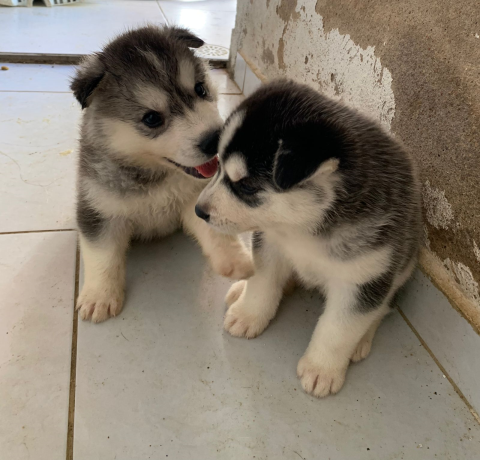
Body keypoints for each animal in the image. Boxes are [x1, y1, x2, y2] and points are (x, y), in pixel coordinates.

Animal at [70, 26, 255, 324]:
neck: (157, 175)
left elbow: (214, 231)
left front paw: (235, 260)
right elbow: (103, 254)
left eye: (200, 89)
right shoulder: (99, 209)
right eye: (152, 119)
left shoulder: (196, 200)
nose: (215, 139)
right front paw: (99, 296)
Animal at [195, 81, 420, 398]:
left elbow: (339, 328)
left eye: (247, 186)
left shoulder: (365, 278)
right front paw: (250, 314)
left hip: (402, 266)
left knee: (385, 306)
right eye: (217, 167)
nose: (199, 210)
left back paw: (362, 340)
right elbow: (263, 283)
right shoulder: (270, 244)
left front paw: (322, 369)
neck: (302, 228)